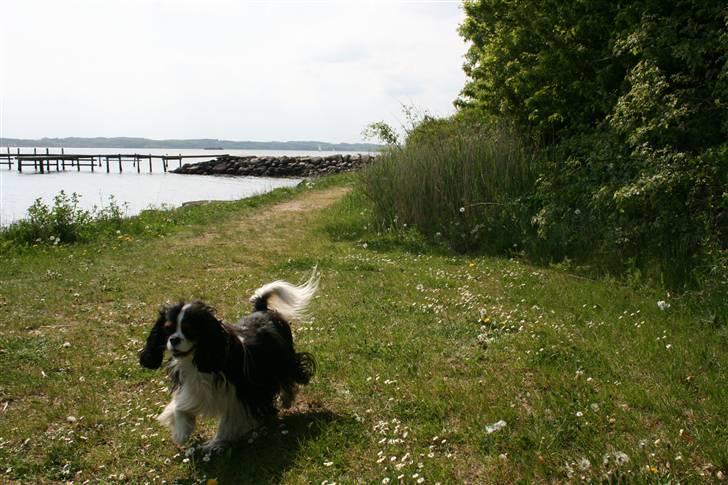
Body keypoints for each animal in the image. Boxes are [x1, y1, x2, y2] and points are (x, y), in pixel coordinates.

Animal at [138, 270, 318, 452]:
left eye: (189, 330)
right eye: (167, 329)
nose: (174, 339)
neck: (197, 361)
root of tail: (261, 309)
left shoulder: (239, 396)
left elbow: (228, 423)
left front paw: (216, 444)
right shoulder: (193, 389)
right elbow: (179, 408)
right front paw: (181, 433)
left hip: (284, 362)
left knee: (288, 379)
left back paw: (286, 400)